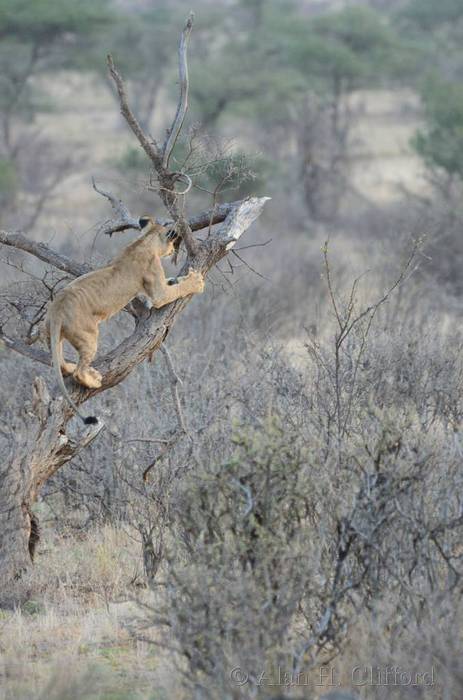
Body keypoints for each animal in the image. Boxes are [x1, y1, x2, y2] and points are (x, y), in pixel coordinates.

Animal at [32, 216, 204, 424]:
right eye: (172, 242)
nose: (172, 250)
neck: (144, 241)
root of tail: (57, 307)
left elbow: (172, 284)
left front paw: (176, 279)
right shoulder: (158, 292)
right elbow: (173, 291)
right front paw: (196, 281)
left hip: (51, 335)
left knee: (61, 364)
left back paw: (75, 368)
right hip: (88, 335)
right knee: (79, 371)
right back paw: (93, 380)